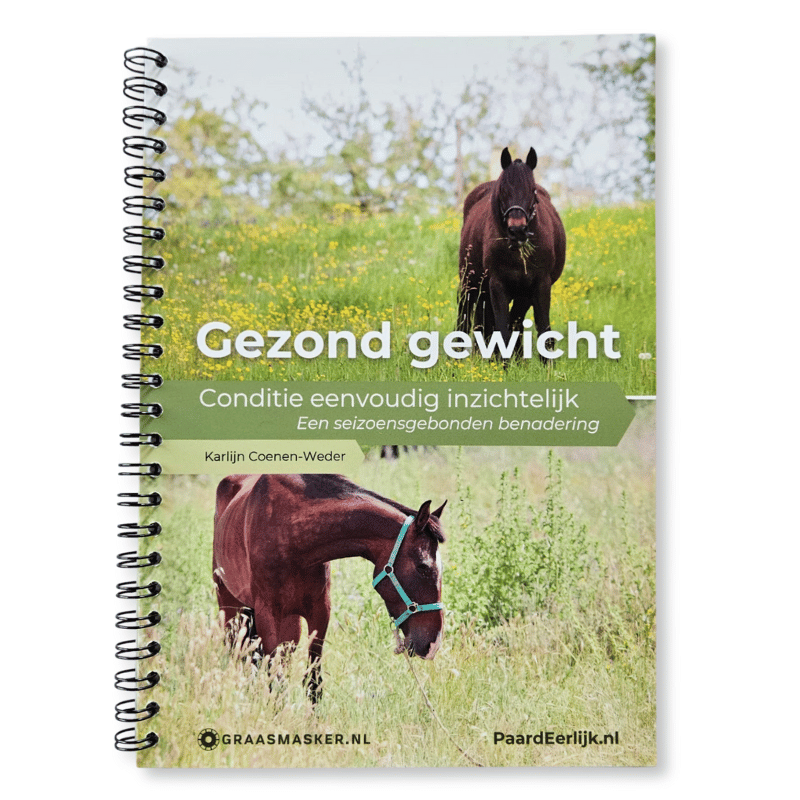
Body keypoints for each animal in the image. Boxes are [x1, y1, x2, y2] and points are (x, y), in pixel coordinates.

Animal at [212, 473, 447, 702]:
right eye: (423, 567)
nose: (433, 644)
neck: (289, 532)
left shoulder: (320, 612)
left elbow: (312, 684)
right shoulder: (267, 615)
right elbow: (275, 683)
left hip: (290, 625)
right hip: (230, 607)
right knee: (239, 655)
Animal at [457, 147, 566, 357]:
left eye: (532, 190)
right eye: (503, 190)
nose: (517, 230)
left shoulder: (539, 285)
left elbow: (543, 331)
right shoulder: (497, 285)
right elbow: (502, 331)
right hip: (470, 283)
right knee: (465, 317)